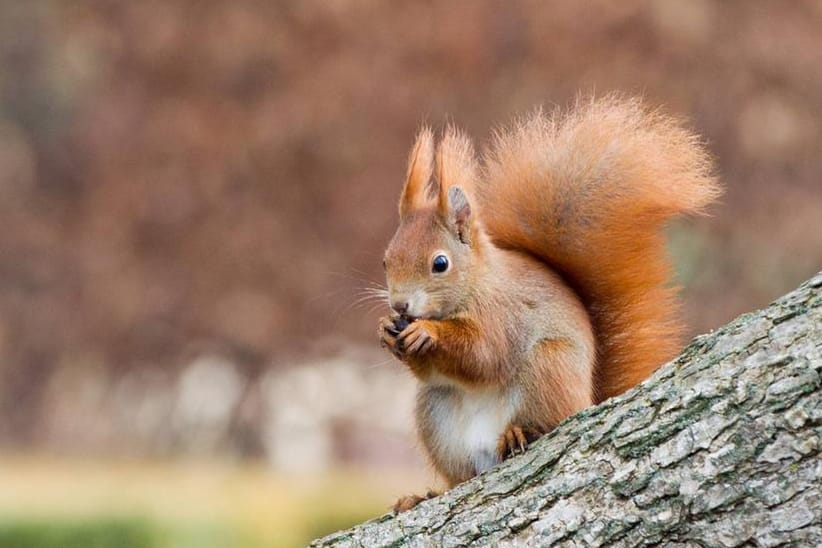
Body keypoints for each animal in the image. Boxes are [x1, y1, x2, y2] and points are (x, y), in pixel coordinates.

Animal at [380, 95, 720, 512]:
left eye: (439, 264)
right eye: (386, 260)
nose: (400, 306)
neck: (476, 284)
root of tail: (588, 397)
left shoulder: (504, 314)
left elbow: (484, 354)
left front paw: (427, 332)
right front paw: (387, 330)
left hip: (548, 368)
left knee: (547, 422)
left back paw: (519, 434)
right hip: (436, 414)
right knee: (461, 478)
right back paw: (425, 495)